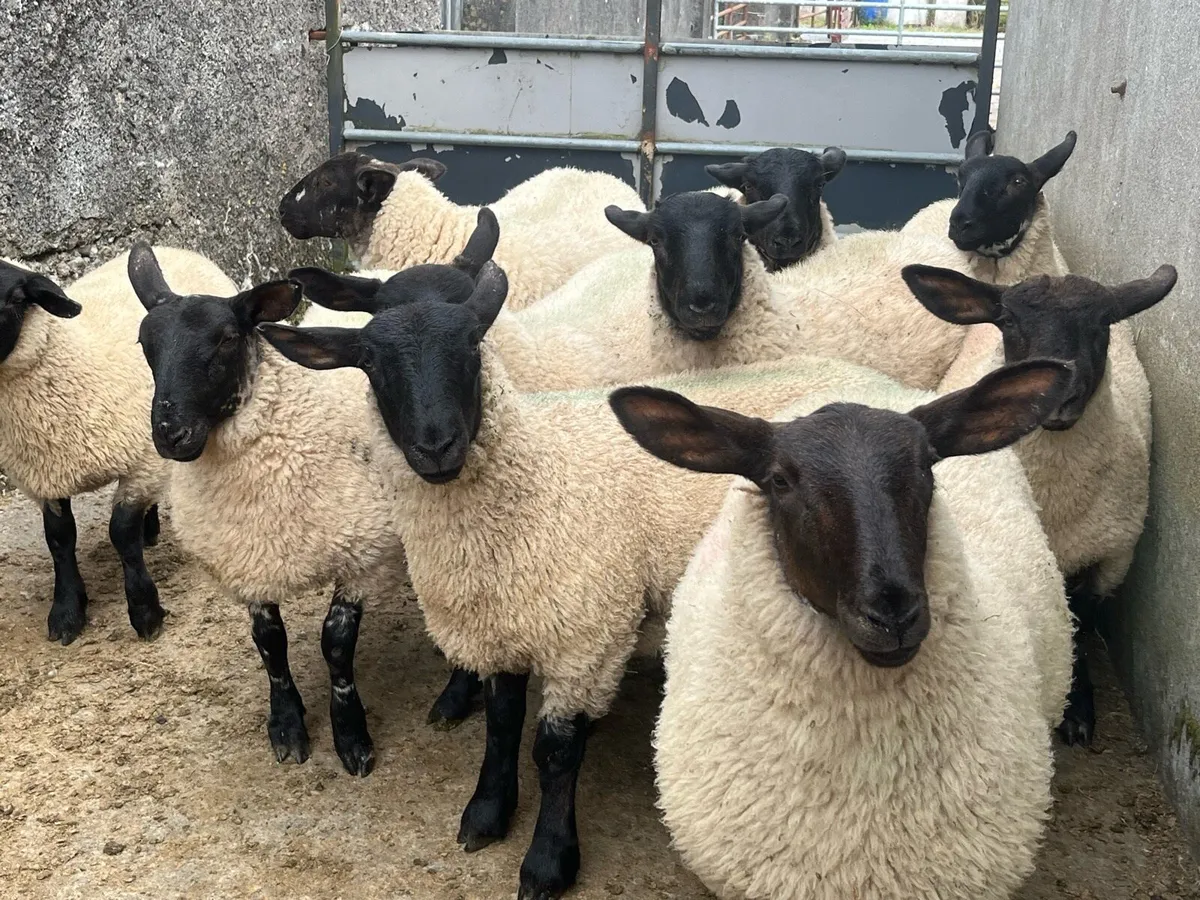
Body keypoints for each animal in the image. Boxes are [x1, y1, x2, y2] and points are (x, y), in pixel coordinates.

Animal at [0, 247, 235, 645]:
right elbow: (59, 539)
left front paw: (145, 612)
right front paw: (66, 612)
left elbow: (121, 533)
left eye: (14, 298)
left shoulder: (143, 462)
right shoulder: (45, 476)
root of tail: (176, 248)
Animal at [126, 242, 485, 776]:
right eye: (145, 343)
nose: (171, 434)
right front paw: (287, 725)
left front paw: (351, 736)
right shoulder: (247, 563)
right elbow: (270, 645)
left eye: (227, 339)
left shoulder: (364, 555)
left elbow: (335, 646)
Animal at [257, 255, 926, 900]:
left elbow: (554, 752)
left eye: (472, 345)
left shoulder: (587, 635)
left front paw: (548, 861)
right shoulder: (504, 621)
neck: (533, 480)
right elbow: (500, 727)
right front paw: (486, 813)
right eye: (370, 363)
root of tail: (884, 389)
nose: (437, 446)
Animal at [902, 262, 1179, 746]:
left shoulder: (1107, 559)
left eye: (1102, 324)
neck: (1053, 502)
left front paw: (1079, 708)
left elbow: (1080, 629)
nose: (1061, 396)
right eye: (1009, 321)